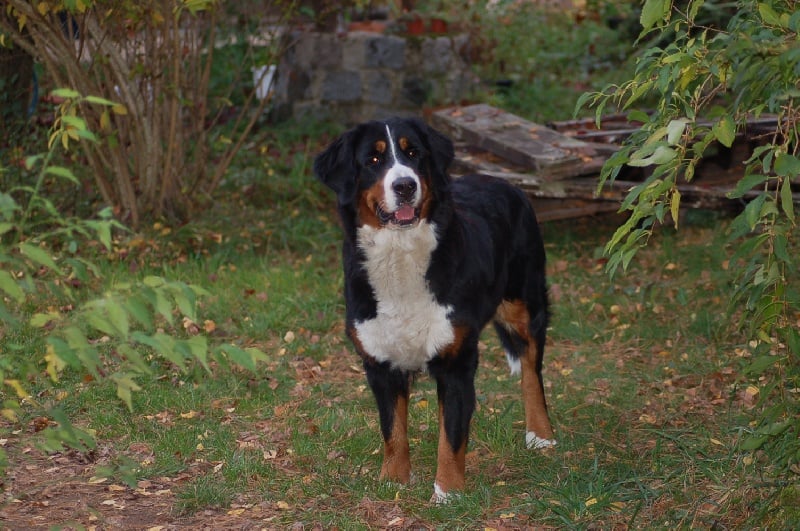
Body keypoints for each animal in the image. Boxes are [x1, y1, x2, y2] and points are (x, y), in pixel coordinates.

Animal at [313, 117, 555, 503]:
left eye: (414, 154)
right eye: (373, 160)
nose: (405, 185)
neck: (400, 256)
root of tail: (504, 181)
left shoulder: (456, 361)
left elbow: (451, 436)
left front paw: (448, 492)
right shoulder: (380, 362)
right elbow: (393, 429)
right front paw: (394, 479)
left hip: (524, 302)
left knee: (532, 368)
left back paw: (540, 433)